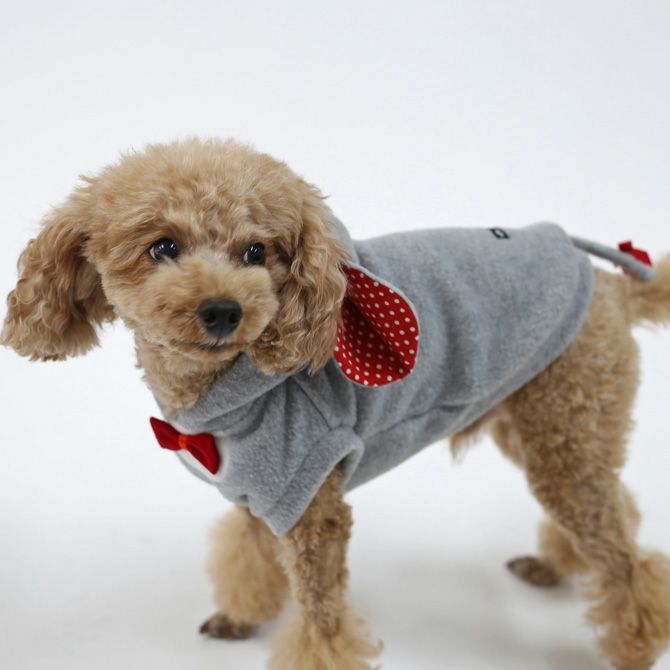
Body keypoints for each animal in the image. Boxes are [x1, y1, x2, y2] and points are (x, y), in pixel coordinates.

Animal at [3, 138, 670, 670]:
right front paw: (241, 617)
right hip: (543, 418)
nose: (223, 310)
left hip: (564, 425)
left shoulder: (312, 498)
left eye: (256, 252)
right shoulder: (257, 487)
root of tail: (608, 284)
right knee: (618, 506)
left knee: (625, 556)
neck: (224, 394)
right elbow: (248, 553)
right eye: (163, 247)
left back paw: (633, 641)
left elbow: (321, 619)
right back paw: (558, 567)